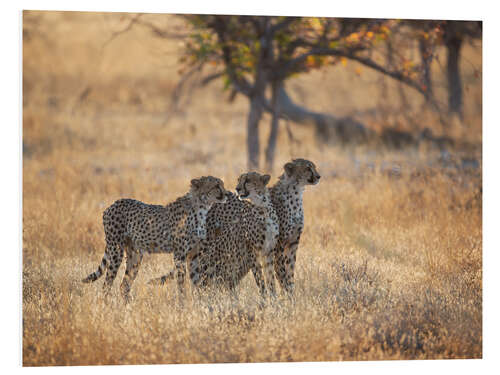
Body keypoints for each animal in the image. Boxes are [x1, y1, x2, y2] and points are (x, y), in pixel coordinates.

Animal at [82, 177, 229, 302]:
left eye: (222, 184)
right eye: (217, 186)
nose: (227, 194)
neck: (201, 208)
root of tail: (113, 204)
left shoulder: (193, 255)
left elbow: (196, 280)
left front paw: (198, 301)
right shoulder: (180, 254)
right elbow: (181, 282)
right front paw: (182, 303)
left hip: (135, 255)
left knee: (124, 285)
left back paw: (129, 307)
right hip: (116, 250)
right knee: (107, 284)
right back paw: (107, 305)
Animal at [150, 173, 280, 300]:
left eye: (248, 180)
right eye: (239, 180)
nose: (237, 189)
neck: (262, 207)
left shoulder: (268, 251)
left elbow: (270, 279)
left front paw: (274, 299)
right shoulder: (253, 250)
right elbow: (260, 279)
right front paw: (264, 299)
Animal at [270, 157, 320, 296]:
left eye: (314, 167)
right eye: (308, 168)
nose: (319, 176)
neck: (296, 193)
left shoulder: (293, 242)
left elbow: (290, 269)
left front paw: (291, 291)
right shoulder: (279, 244)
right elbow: (281, 270)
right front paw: (286, 293)